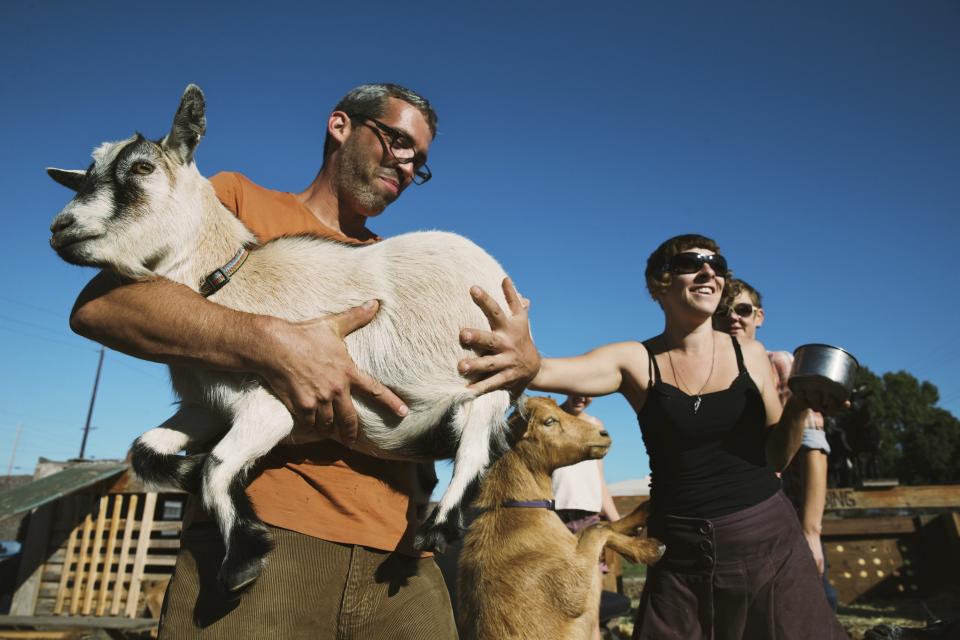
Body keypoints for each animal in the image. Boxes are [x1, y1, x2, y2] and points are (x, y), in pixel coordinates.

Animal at [50, 84, 516, 592]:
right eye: (85, 175)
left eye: (142, 168)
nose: (60, 228)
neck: (229, 282)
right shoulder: (207, 405)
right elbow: (145, 450)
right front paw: (188, 475)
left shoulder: (275, 403)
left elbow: (218, 465)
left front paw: (242, 560)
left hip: (486, 374)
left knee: (477, 440)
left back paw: (438, 526)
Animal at [456, 398, 664, 636]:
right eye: (549, 421)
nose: (604, 434)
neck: (517, 510)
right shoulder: (575, 588)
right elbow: (596, 529)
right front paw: (648, 549)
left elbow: (598, 526)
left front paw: (640, 516)